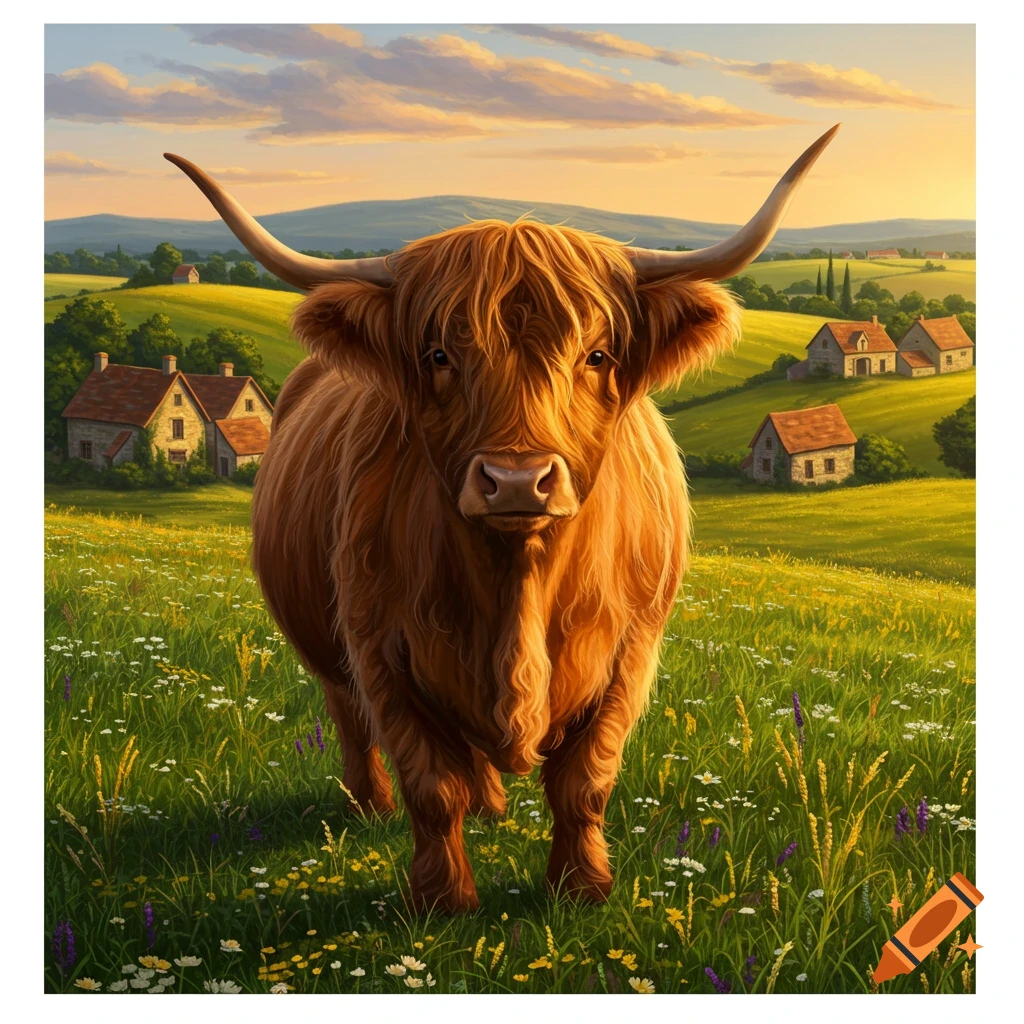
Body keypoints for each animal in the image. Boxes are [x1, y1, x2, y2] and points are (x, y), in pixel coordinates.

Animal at [166, 125, 837, 912]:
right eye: (437, 354)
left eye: (597, 354)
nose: (517, 479)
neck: (519, 583)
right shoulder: (379, 648)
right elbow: (432, 785)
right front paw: (442, 900)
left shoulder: (631, 651)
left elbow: (585, 781)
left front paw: (582, 888)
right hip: (328, 650)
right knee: (353, 722)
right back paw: (372, 806)